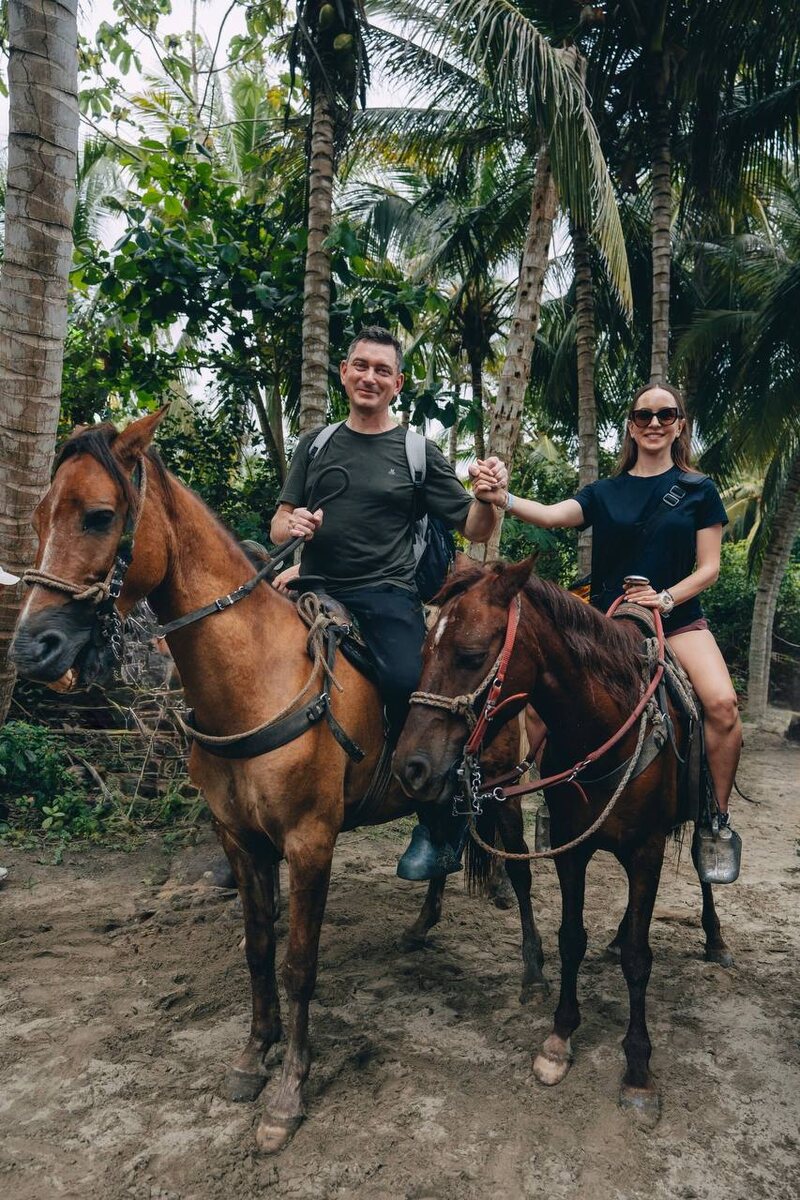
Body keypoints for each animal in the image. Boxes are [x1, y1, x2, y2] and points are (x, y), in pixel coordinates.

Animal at [9, 409, 547, 1153]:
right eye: (38, 516)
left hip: (502, 784)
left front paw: (289, 1089)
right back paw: (424, 915)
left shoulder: (310, 840)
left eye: (98, 515)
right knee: (444, 827)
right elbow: (259, 949)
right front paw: (251, 1057)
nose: (32, 648)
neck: (254, 680)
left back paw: (532, 970)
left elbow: (299, 963)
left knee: (518, 870)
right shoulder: (239, 838)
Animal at [393, 557, 733, 1120]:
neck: (603, 728)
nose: (411, 768)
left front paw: (638, 1070)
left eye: (470, 656)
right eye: (422, 653)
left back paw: (716, 939)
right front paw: (559, 1037)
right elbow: (571, 938)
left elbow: (641, 959)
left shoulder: (646, 850)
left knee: (704, 869)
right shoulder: (573, 849)